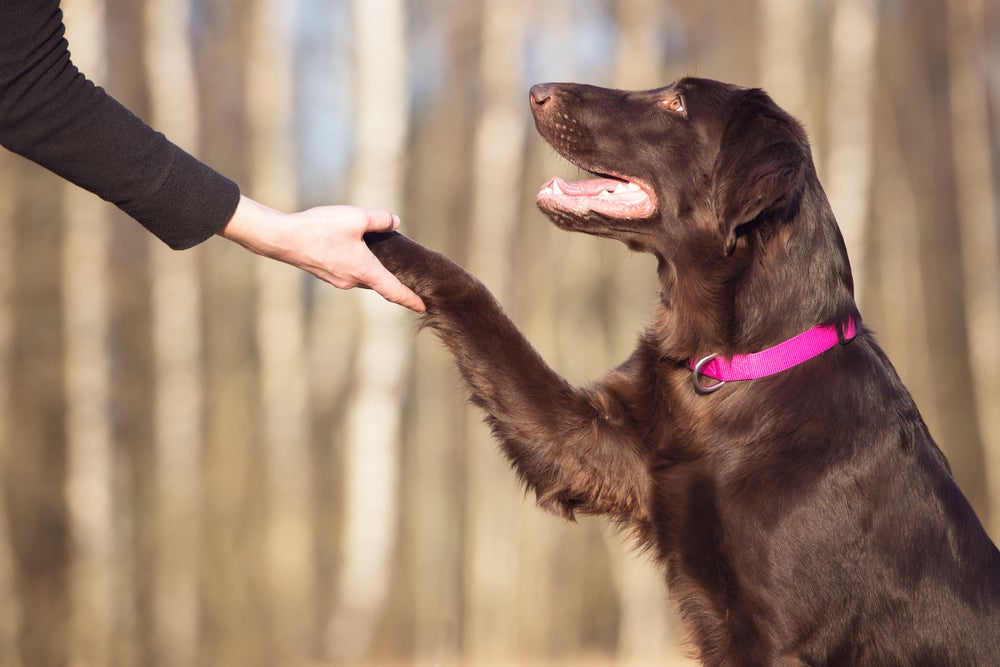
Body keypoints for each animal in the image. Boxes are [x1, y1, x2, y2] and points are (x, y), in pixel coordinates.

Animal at [366, 79, 1000, 667]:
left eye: (675, 104)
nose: (537, 91)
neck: (732, 367)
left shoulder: (781, 639)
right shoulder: (590, 447)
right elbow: (477, 302)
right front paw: (376, 236)